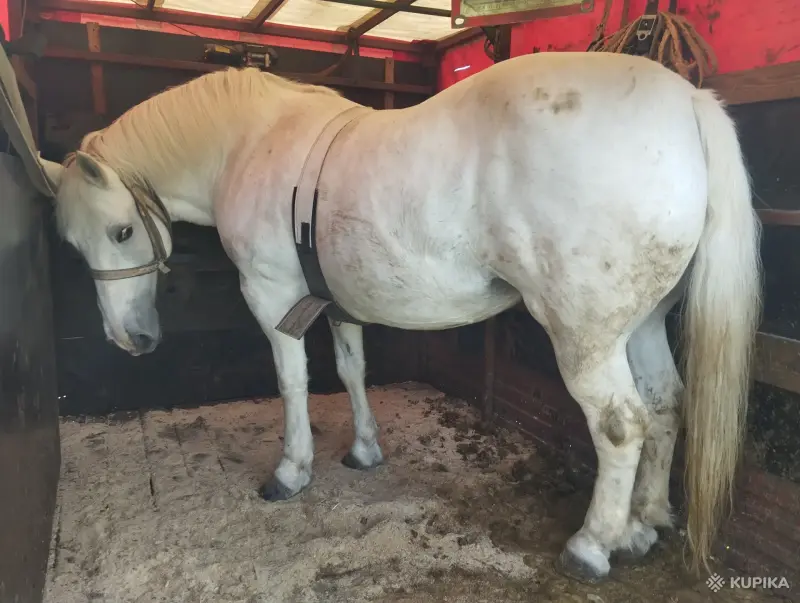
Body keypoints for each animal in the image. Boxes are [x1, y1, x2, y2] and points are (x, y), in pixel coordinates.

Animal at [40, 50, 762, 583]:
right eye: (72, 246)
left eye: (122, 232)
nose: (130, 339)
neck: (250, 142)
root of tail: (686, 102)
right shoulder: (336, 301)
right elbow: (351, 370)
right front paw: (363, 450)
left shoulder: (272, 297)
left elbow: (293, 383)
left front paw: (290, 472)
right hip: (640, 324)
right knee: (665, 404)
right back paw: (644, 522)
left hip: (585, 334)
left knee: (620, 424)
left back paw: (593, 544)